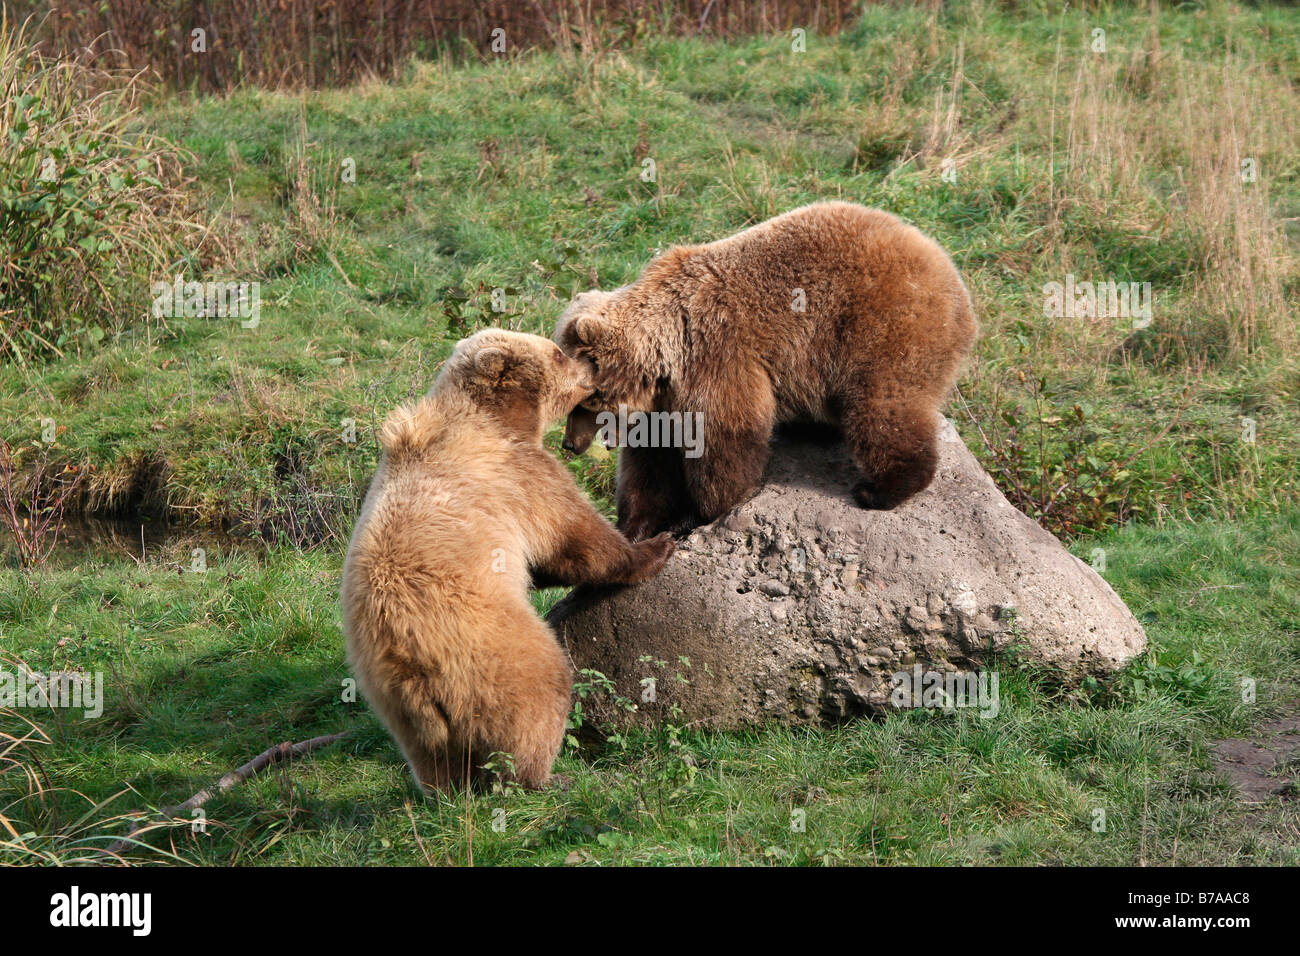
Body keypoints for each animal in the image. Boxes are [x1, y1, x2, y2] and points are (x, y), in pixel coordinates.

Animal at [340, 329, 676, 790]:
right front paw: (655, 546)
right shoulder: (518, 475)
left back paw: (447, 790)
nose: (591, 366)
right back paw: (543, 775)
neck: (498, 418)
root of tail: (411, 660)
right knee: (541, 695)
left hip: (389, 698)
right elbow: (572, 537)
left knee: (433, 757)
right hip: (497, 651)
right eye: (559, 353)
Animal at [556, 200, 977, 546]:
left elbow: (726, 440)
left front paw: (700, 514)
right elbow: (650, 467)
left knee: (882, 405)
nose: (568, 445)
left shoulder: (718, 356)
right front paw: (637, 526)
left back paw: (880, 489)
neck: (668, 347)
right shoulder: (663, 401)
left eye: (584, 403)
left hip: (883, 325)